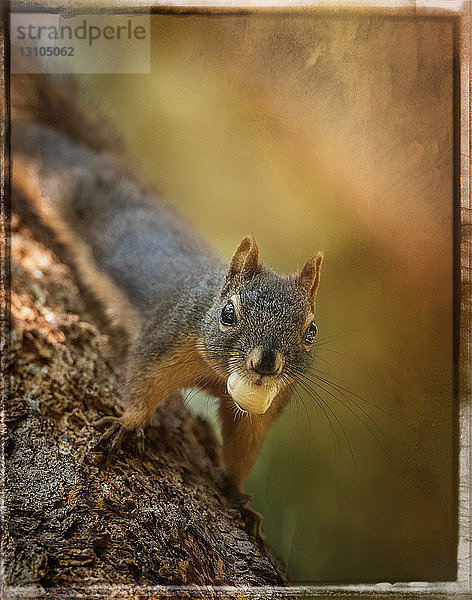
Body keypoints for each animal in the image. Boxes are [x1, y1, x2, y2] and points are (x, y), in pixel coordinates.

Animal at [11, 74, 322, 492]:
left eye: (311, 331)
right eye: (228, 314)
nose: (267, 363)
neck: (218, 371)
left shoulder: (270, 400)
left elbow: (245, 439)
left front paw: (236, 491)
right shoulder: (165, 338)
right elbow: (144, 382)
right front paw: (128, 425)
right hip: (60, 180)